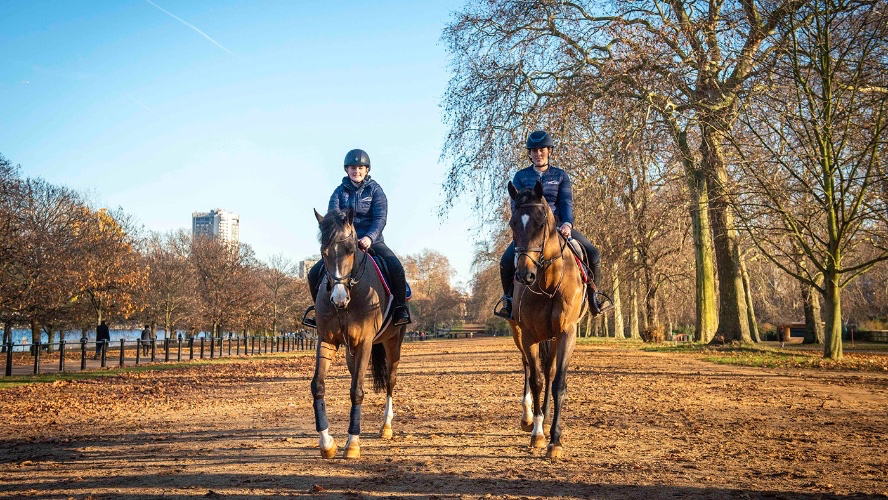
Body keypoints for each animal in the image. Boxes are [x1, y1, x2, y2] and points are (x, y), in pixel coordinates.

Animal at [310, 208, 406, 459]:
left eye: (351, 250)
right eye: (323, 252)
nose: (338, 298)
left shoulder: (364, 342)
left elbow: (357, 392)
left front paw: (353, 444)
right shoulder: (327, 340)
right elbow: (318, 386)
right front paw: (327, 443)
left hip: (393, 342)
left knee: (390, 380)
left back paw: (386, 427)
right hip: (351, 351)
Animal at [506, 180, 589, 460]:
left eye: (541, 223)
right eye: (512, 223)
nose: (524, 275)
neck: (549, 283)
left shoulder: (566, 332)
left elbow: (558, 382)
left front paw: (556, 440)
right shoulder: (529, 335)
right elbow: (537, 379)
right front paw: (538, 434)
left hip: (551, 337)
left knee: (550, 371)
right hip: (519, 333)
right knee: (529, 368)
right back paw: (529, 416)